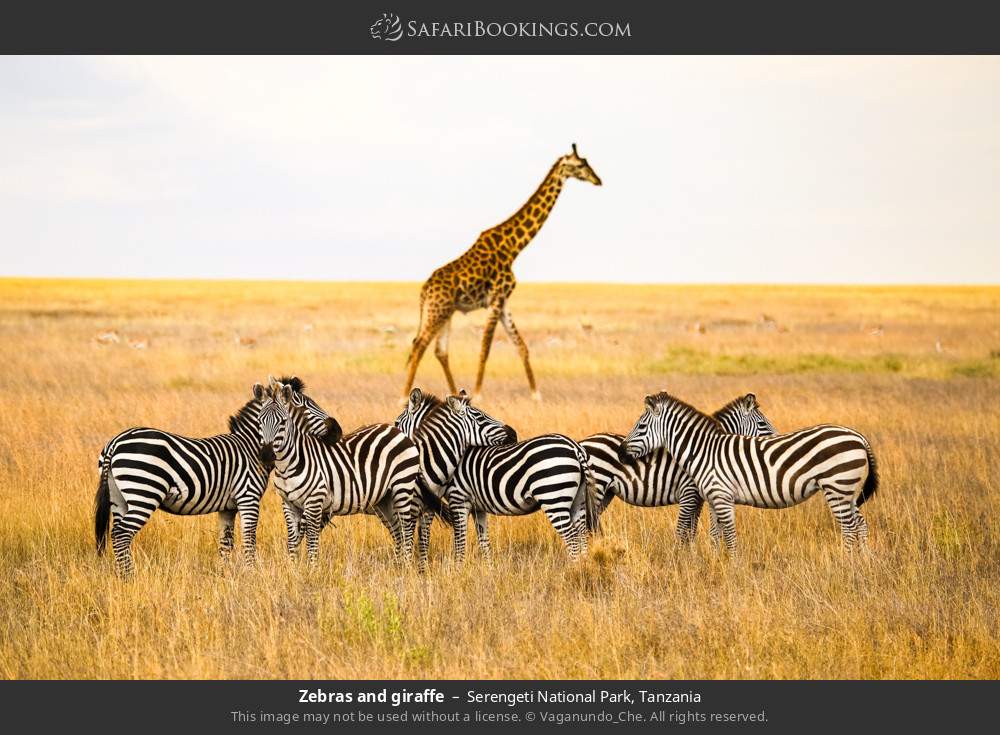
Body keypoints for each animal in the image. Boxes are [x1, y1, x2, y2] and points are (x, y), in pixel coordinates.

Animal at [94, 376, 335, 577]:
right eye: (307, 406)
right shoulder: (248, 498)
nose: (336, 430)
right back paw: (129, 578)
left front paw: (226, 574)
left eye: (283, 422)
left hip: (119, 497)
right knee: (122, 535)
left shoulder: (227, 507)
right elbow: (249, 539)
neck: (250, 446)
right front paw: (251, 574)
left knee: (116, 533)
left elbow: (225, 543)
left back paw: (122, 577)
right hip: (144, 492)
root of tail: (115, 442)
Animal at [257, 379, 424, 564]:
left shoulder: (314, 501)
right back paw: (398, 565)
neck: (288, 464)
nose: (266, 455)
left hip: (402, 487)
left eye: (283, 422)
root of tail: (396, 431)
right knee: (398, 531)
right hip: (384, 499)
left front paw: (312, 568)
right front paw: (292, 567)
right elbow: (293, 541)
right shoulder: (288, 504)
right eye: (259, 421)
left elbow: (312, 541)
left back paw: (407, 565)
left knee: (407, 529)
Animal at [402, 144, 602, 402]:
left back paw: (453, 393)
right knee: (419, 344)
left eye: (587, 163)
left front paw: (536, 395)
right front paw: (478, 394)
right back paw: (404, 396)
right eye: (580, 165)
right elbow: (485, 347)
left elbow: (521, 346)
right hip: (437, 311)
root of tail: (424, 290)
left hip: (446, 312)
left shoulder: (505, 302)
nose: (598, 180)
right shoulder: (496, 299)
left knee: (439, 350)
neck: (513, 247)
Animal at [581, 393, 777, 544]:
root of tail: (582, 443)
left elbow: (691, 532)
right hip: (597, 489)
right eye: (763, 424)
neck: (703, 449)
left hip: (606, 494)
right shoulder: (689, 493)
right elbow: (683, 532)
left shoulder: (698, 499)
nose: (777, 440)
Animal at [620, 391, 879, 551]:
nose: (622, 452)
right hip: (847, 490)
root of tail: (858, 436)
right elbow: (715, 534)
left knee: (849, 527)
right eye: (763, 423)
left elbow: (728, 536)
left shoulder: (718, 497)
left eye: (641, 426)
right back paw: (863, 561)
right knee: (860, 523)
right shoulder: (712, 498)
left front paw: (733, 569)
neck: (703, 450)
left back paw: (847, 562)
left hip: (837, 486)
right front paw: (716, 562)